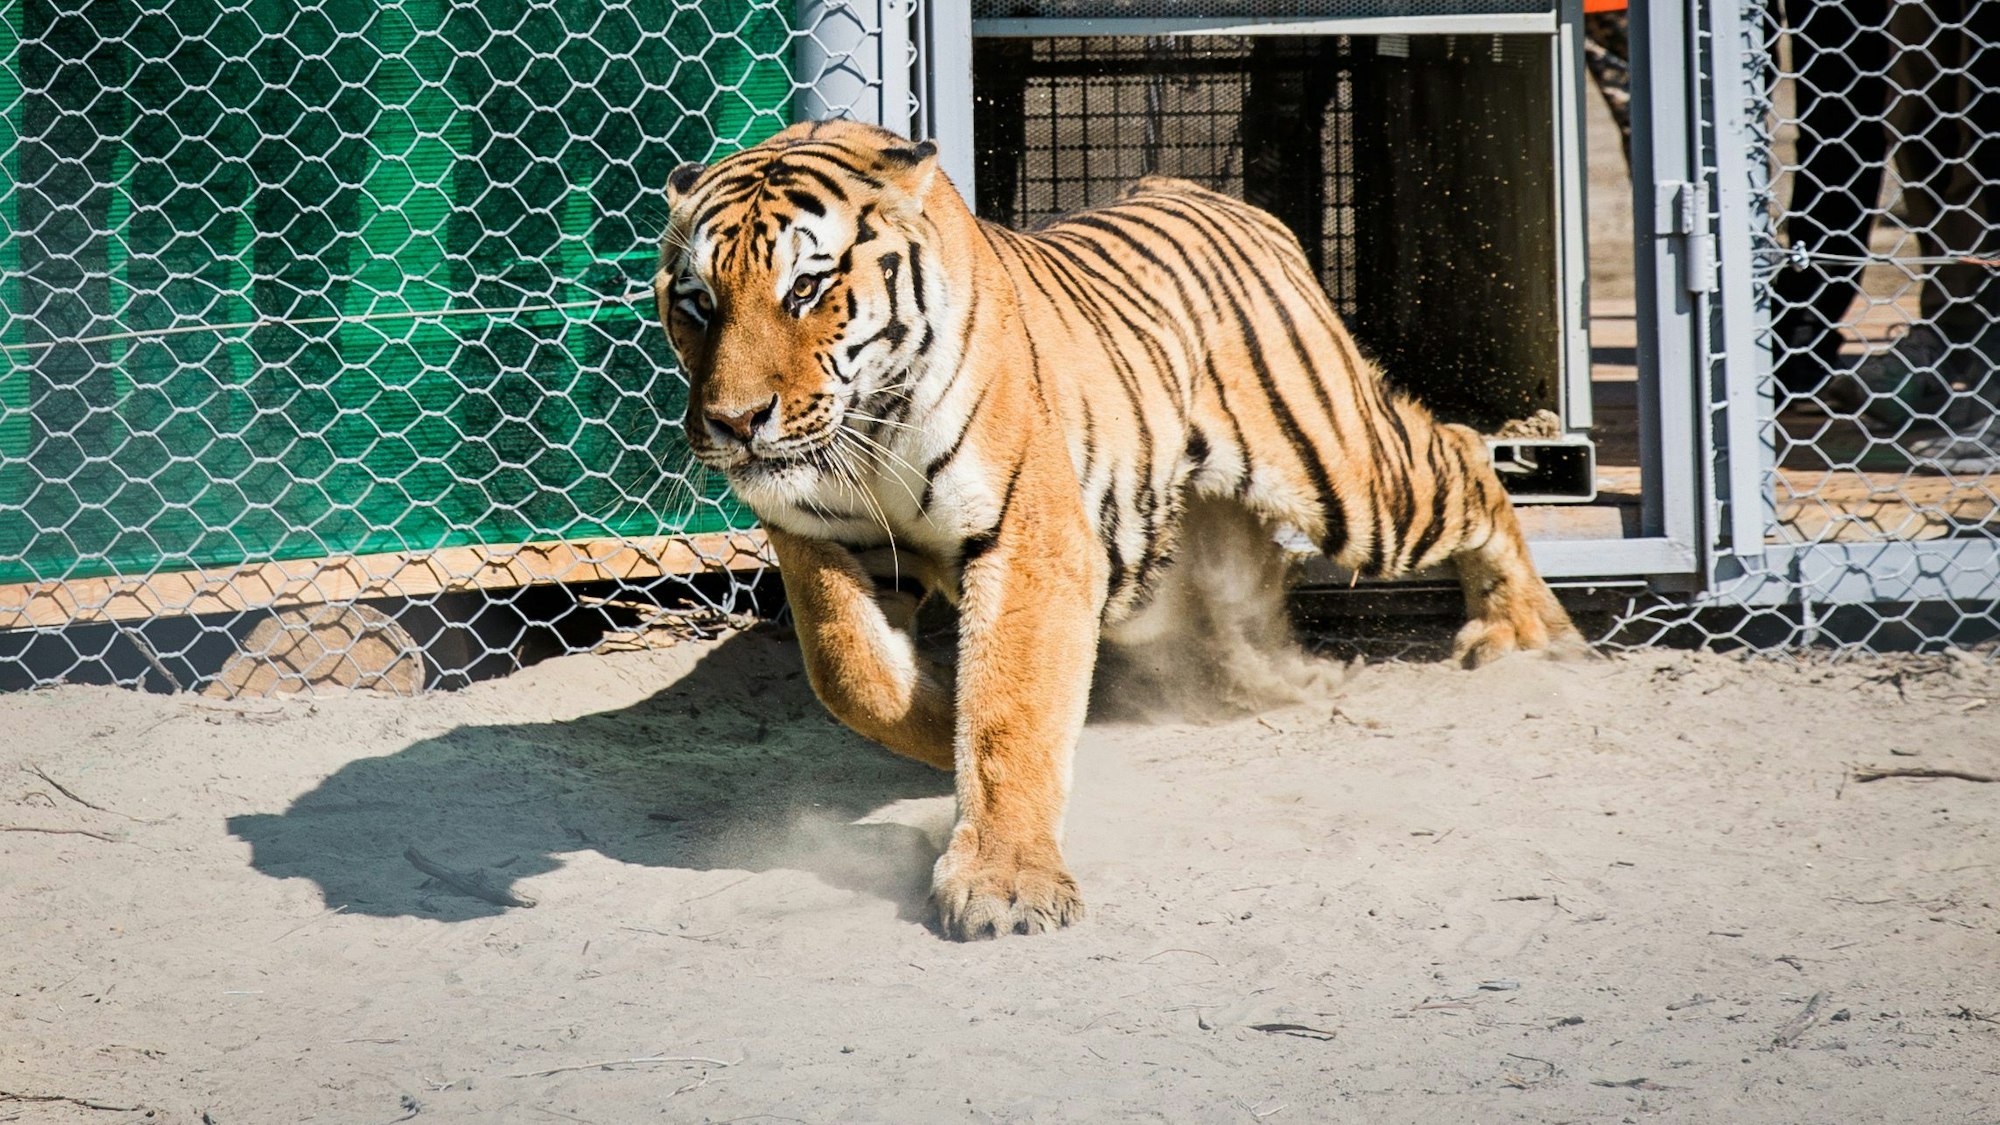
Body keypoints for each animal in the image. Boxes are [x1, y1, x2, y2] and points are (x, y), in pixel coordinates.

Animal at [655, 120, 1583, 941]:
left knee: (1464, 451)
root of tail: (1201, 190)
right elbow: (855, 675)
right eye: (698, 302)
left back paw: (1529, 630)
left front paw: (1003, 883)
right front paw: (940, 718)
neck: (867, 426)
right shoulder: (819, 538)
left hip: (1348, 479)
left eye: (805, 289)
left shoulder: (1029, 539)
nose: (734, 422)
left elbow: (1010, 710)